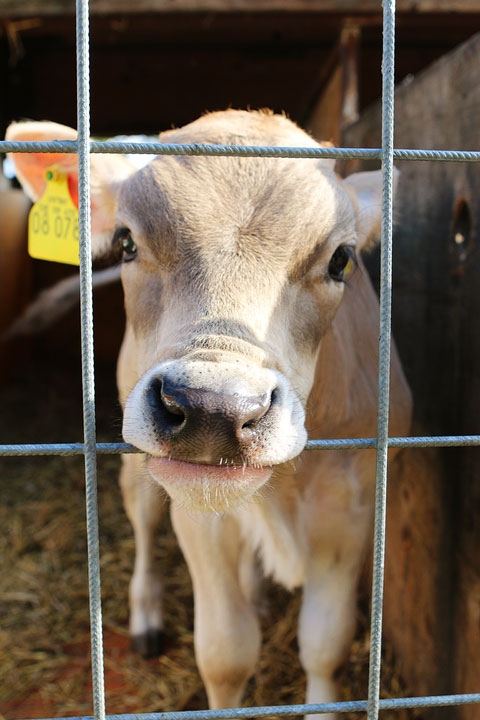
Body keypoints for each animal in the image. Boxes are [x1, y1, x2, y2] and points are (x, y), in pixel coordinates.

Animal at [7, 112, 410, 716]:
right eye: (126, 241)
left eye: (340, 259)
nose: (212, 408)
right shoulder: (197, 519)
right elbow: (225, 653)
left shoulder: (350, 507)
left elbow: (325, 644)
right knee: (142, 518)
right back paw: (147, 615)